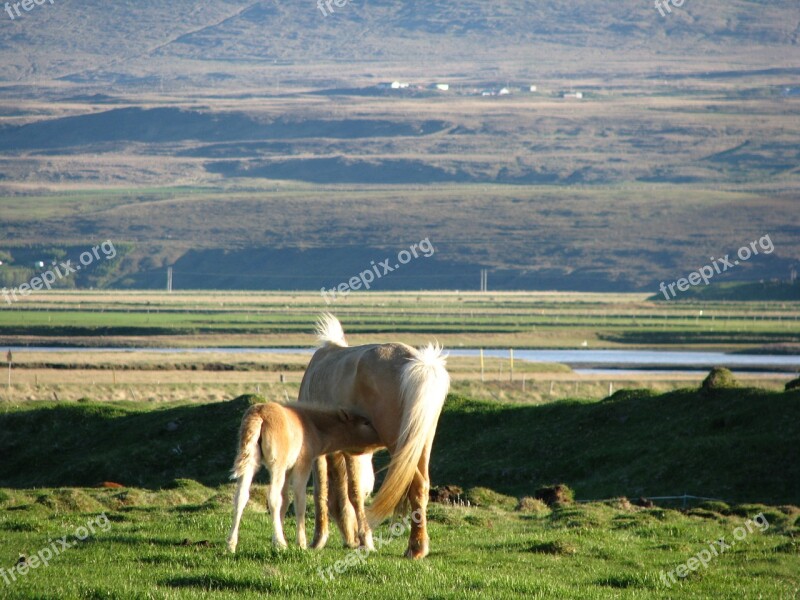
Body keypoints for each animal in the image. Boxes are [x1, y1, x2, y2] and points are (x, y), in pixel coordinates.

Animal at [225, 404, 382, 552]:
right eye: (366, 423)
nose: (380, 438)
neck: (312, 426)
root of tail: (259, 414)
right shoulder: (302, 465)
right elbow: (300, 500)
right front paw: (300, 543)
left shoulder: (288, 470)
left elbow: (285, 500)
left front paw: (276, 538)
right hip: (277, 465)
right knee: (272, 497)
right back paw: (280, 543)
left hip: (250, 461)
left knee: (241, 496)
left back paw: (231, 545)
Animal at [300, 314, 450, 556]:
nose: (350, 540)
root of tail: (420, 364)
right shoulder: (355, 451)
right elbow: (356, 491)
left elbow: (332, 491)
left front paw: (322, 540)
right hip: (422, 444)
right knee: (423, 486)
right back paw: (417, 545)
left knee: (415, 484)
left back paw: (415, 549)